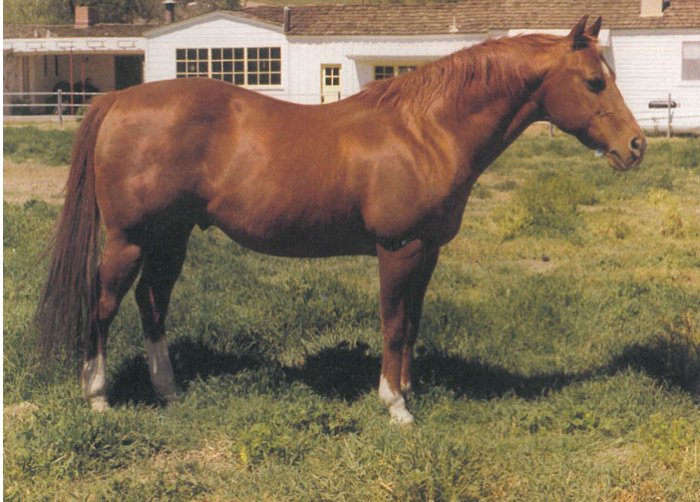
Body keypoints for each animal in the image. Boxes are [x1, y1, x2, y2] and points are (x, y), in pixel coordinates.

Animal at [36, 16, 645, 425]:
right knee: (105, 304)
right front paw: (395, 405)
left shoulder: (427, 252)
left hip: (172, 235)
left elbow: (413, 323)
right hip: (128, 239)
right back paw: (98, 398)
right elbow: (393, 323)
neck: (426, 131)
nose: (635, 147)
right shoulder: (397, 249)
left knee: (152, 303)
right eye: (594, 82)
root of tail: (119, 100)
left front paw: (409, 390)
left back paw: (169, 392)